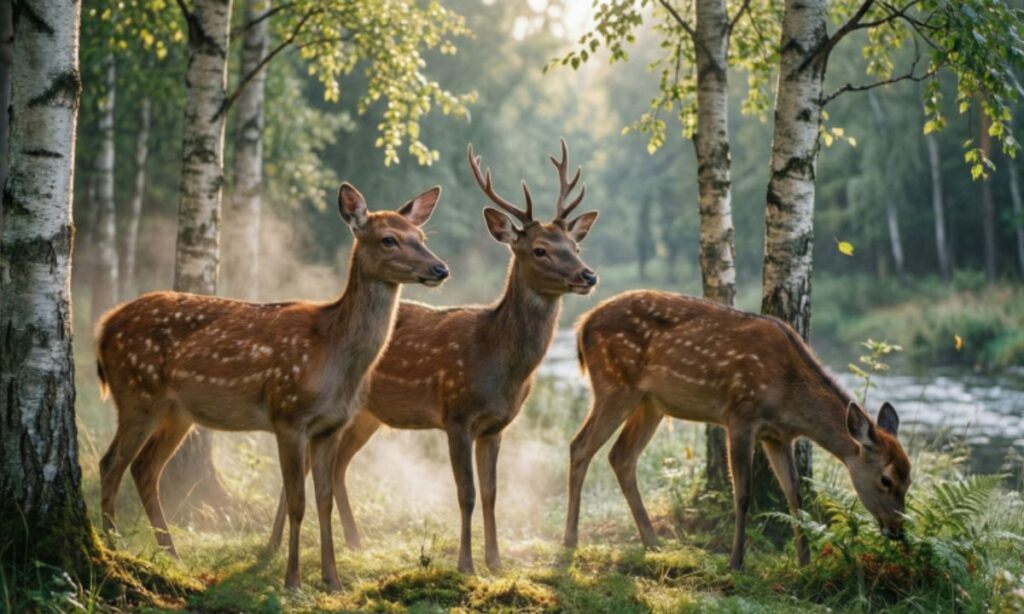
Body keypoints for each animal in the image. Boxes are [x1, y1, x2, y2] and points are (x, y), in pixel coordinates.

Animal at [95, 182, 448, 591]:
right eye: (389, 239)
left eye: (421, 237)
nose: (441, 268)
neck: (333, 354)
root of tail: (103, 326)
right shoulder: (288, 415)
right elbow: (297, 501)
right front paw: (292, 580)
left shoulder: (329, 426)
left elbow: (324, 500)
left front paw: (333, 580)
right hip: (137, 393)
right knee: (111, 464)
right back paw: (113, 549)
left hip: (177, 413)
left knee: (145, 469)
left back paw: (172, 557)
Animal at [267, 140, 600, 573]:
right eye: (540, 250)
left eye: (575, 246)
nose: (588, 275)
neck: (498, 361)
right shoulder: (455, 413)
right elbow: (466, 492)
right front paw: (466, 564)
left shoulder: (497, 426)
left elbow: (492, 492)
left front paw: (496, 562)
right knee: (303, 471)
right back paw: (273, 547)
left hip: (367, 414)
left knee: (338, 465)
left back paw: (355, 543)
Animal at [563, 290, 912, 570]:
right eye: (886, 479)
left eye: (909, 479)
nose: (898, 531)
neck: (788, 395)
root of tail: (582, 325)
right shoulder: (740, 416)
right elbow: (743, 494)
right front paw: (736, 562)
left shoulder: (777, 436)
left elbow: (794, 494)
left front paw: (805, 561)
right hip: (615, 384)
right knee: (580, 446)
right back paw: (570, 540)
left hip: (651, 403)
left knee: (621, 456)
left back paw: (652, 542)